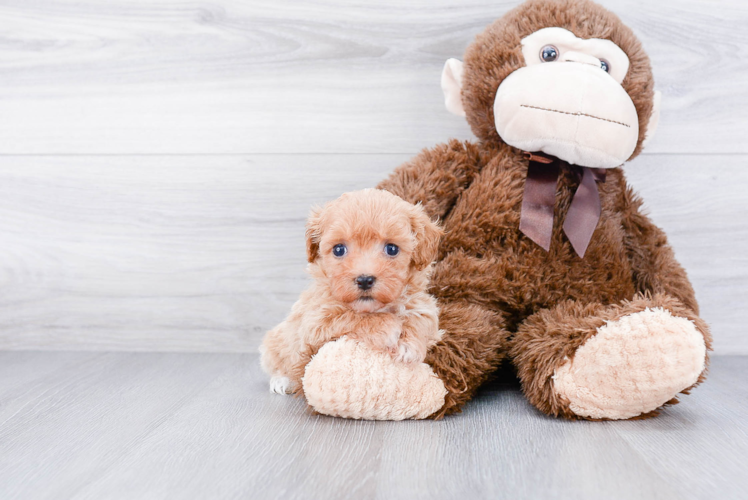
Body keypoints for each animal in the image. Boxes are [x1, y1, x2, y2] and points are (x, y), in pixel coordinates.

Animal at [260, 188, 442, 394]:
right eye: (339, 249)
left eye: (392, 249)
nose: (364, 280)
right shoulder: (316, 321)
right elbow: (350, 316)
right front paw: (387, 326)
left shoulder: (423, 306)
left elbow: (422, 320)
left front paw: (408, 344)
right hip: (274, 343)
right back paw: (282, 380)